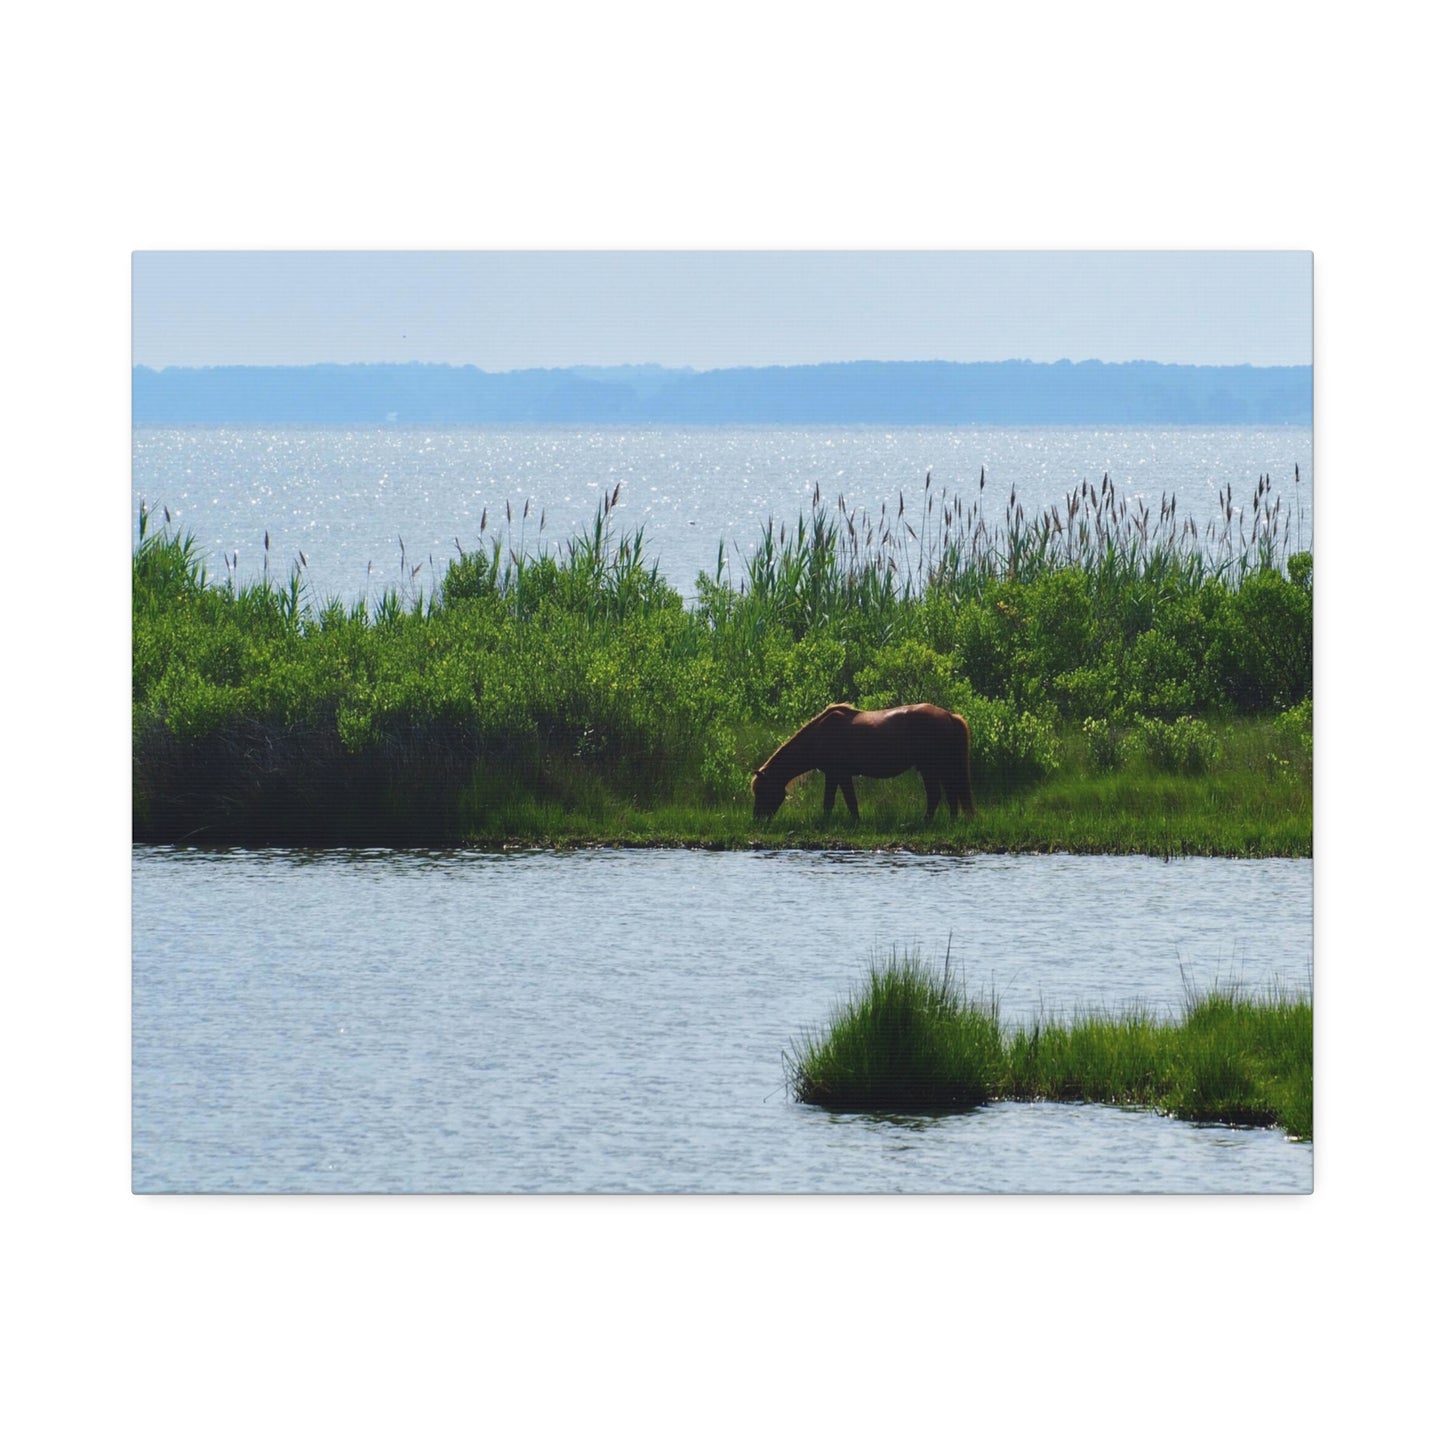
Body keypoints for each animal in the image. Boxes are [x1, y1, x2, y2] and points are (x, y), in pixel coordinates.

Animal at [751, 702, 976, 820]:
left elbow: (843, 802)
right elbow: (835, 803)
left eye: (762, 791)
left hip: (931, 768)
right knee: (951, 795)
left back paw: (925, 822)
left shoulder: (839, 774)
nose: (757, 820)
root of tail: (948, 715)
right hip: (941, 768)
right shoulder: (835, 775)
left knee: (936, 795)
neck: (819, 735)